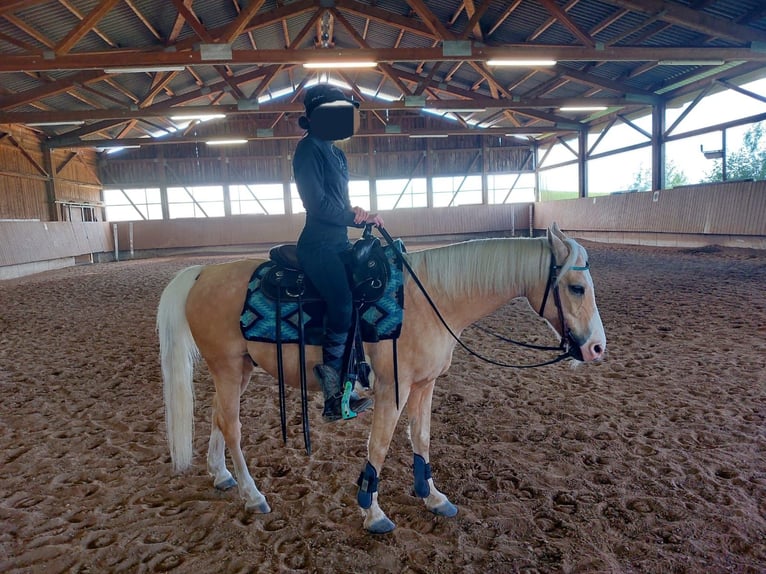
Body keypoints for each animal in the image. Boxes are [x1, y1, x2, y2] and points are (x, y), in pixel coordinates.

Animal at [157, 222, 606, 533]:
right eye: (577, 287)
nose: (597, 348)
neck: (433, 298)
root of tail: (201, 274)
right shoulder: (395, 389)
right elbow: (381, 444)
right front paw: (372, 511)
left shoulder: (425, 385)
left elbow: (420, 438)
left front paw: (433, 497)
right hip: (228, 368)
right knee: (231, 426)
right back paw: (253, 495)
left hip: (239, 370)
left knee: (217, 419)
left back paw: (222, 476)